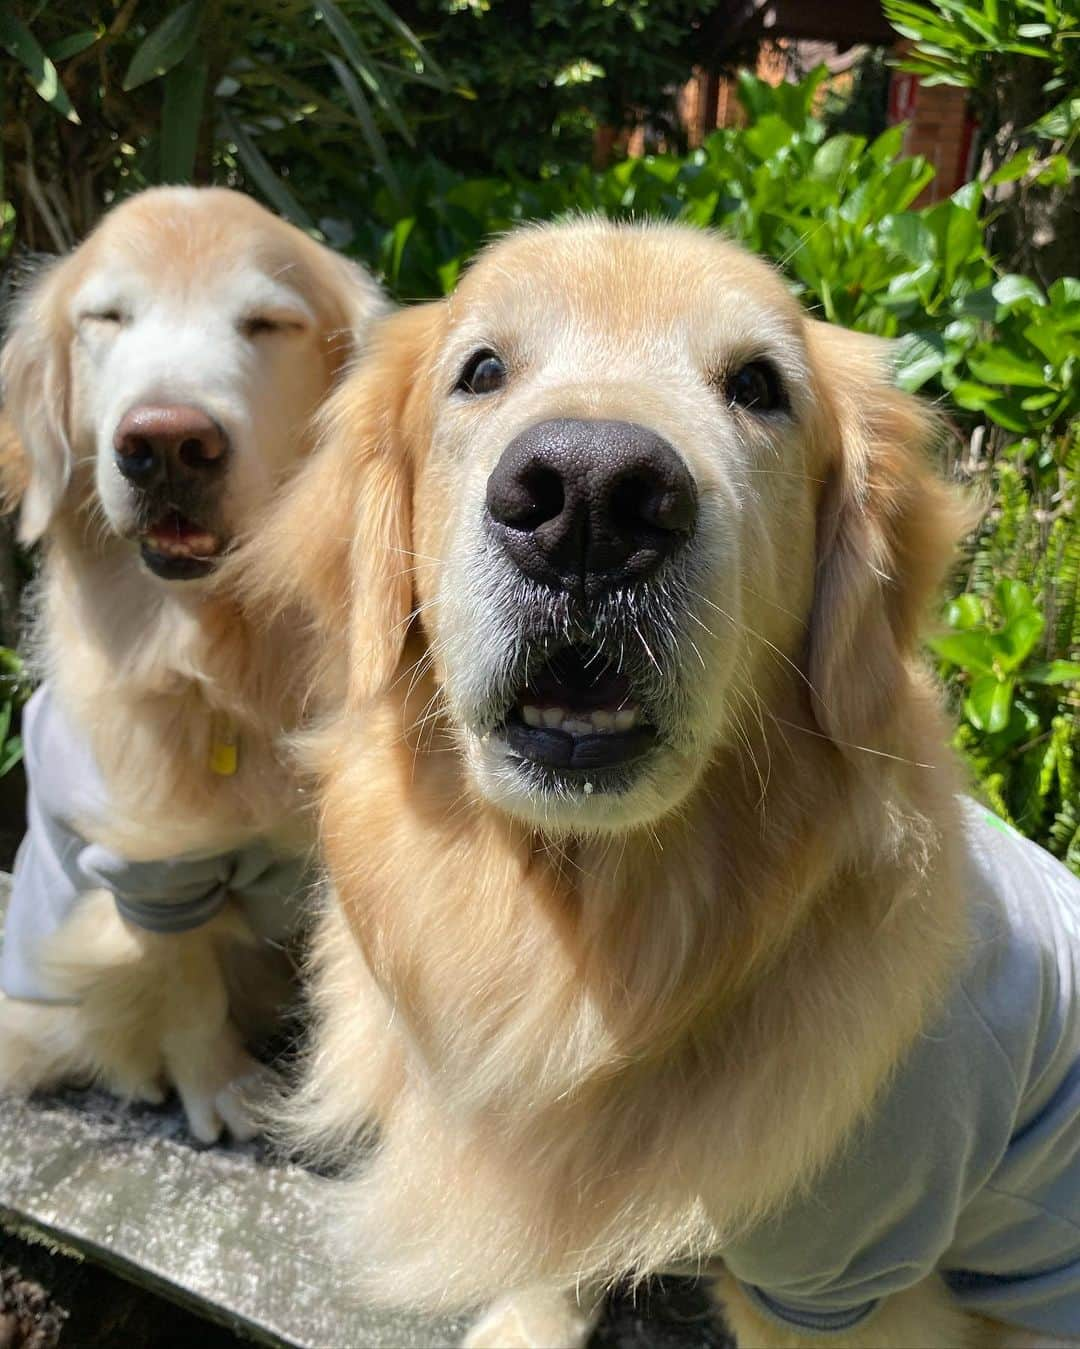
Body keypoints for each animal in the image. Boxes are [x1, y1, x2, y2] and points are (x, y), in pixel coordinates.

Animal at [0, 187, 385, 1138]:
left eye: (268, 323)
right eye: (106, 317)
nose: (168, 443)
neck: (224, 656)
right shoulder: (147, 872)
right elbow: (182, 979)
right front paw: (221, 1086)